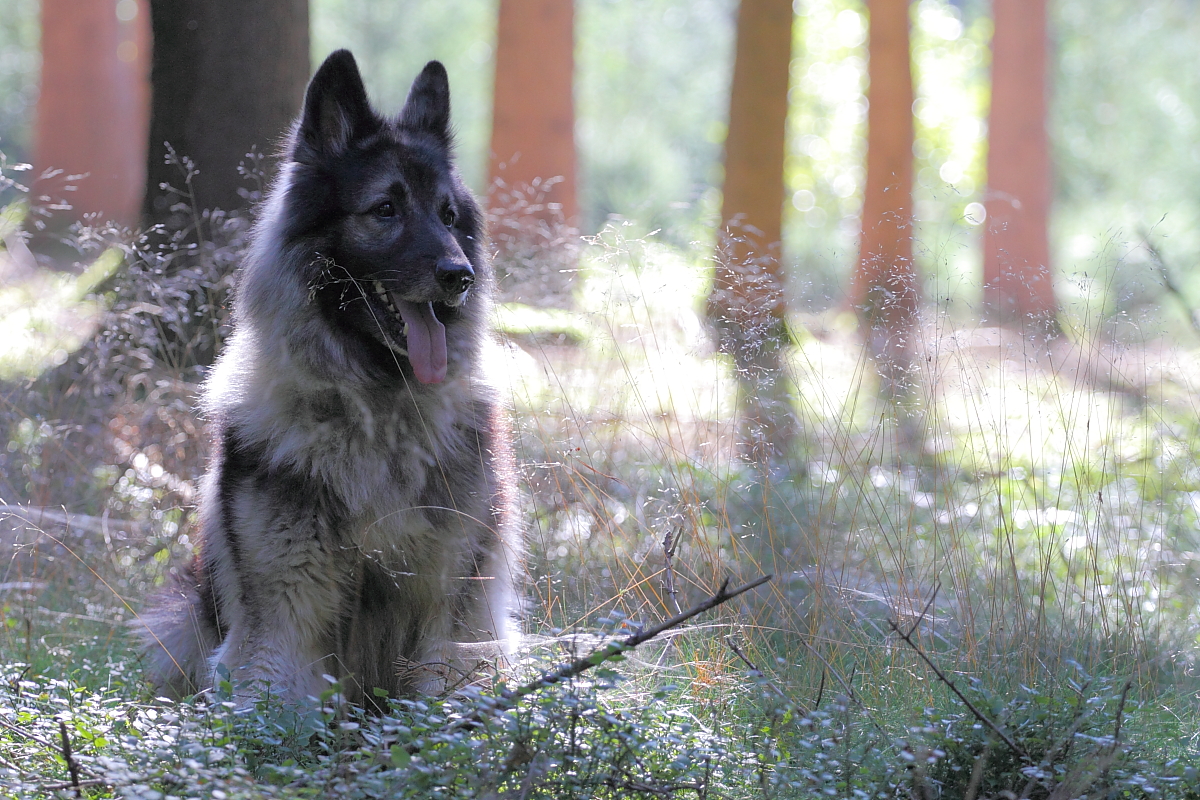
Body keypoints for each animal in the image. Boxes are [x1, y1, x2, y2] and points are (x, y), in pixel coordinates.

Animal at [139, 48, 520, 705]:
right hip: (185, 616)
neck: (377, 409)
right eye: (385, 209)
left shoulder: (452, 614)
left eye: (449, 216)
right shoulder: (286, 618)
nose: (460, 276)